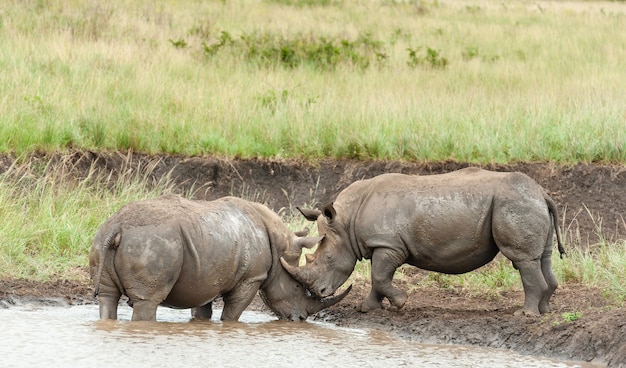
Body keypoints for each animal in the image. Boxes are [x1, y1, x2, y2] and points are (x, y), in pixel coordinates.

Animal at [89, 194, 348, 320]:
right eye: (296, 286)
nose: (300, 319)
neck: (279, 242)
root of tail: (119, 227)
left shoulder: (204, 277)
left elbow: (202, 310)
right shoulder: (252, 277)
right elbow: (232, 313)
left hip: (102, 238)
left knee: (107, 297)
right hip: (152, 244)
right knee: (147, 301)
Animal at [280, 168, 564, 314]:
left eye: (328, 259)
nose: (317, 293)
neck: (346, 221)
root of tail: (542, 192)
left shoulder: (389, 244)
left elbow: (380, 277)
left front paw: (400, 303)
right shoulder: (381, 244)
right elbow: (377, 278)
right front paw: (367, 308)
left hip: (514, 204)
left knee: (523, 260)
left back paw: (525, 314)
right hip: (527, 203)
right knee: (543, 258)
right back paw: (545, 311)